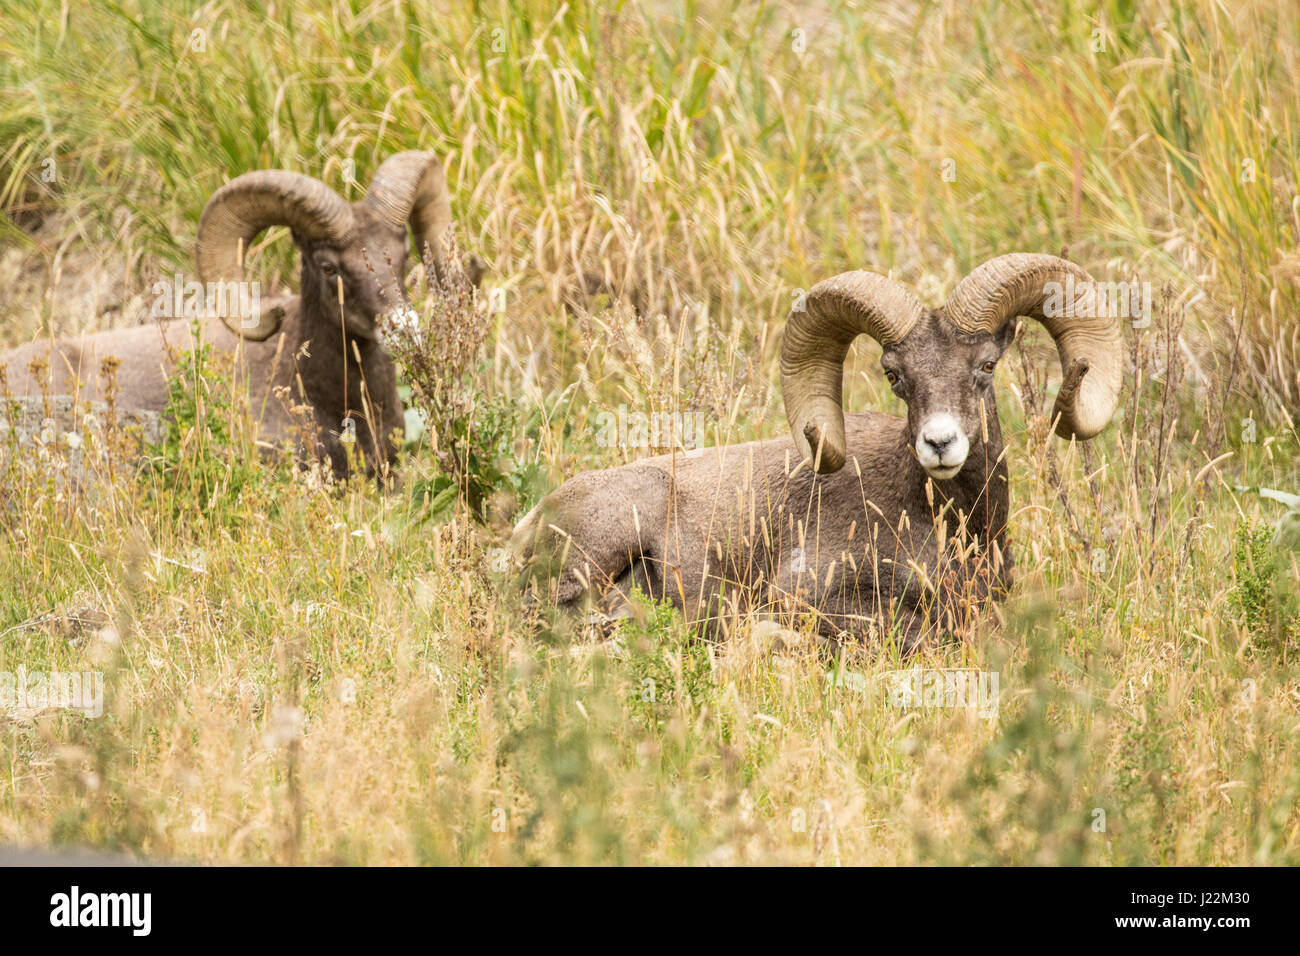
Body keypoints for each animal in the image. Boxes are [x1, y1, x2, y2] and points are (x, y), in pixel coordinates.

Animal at [512, 254, 1123, 650]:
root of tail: (532, 522)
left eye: (986, 366)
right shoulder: (806, 596)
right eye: (896, 376)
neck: (950, 526)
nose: (939, 443)